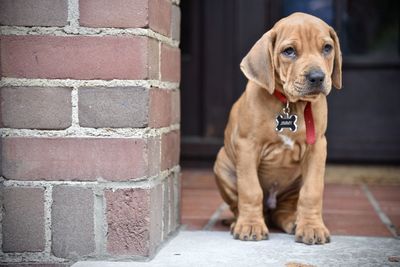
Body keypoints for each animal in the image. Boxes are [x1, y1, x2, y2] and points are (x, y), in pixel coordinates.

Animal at [214, 13, 342, 246]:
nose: (317, 77)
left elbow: (312, 191)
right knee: (240, 205)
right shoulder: (247, 146)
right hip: (222, 165)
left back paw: (293, 221)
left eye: (327, 48)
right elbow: (250, 190)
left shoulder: (317, 147)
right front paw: (250, 225)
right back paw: (238, 221)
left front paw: (312, 227)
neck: (290, 103)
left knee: (283, 209)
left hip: (293, 185)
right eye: (289, 51)